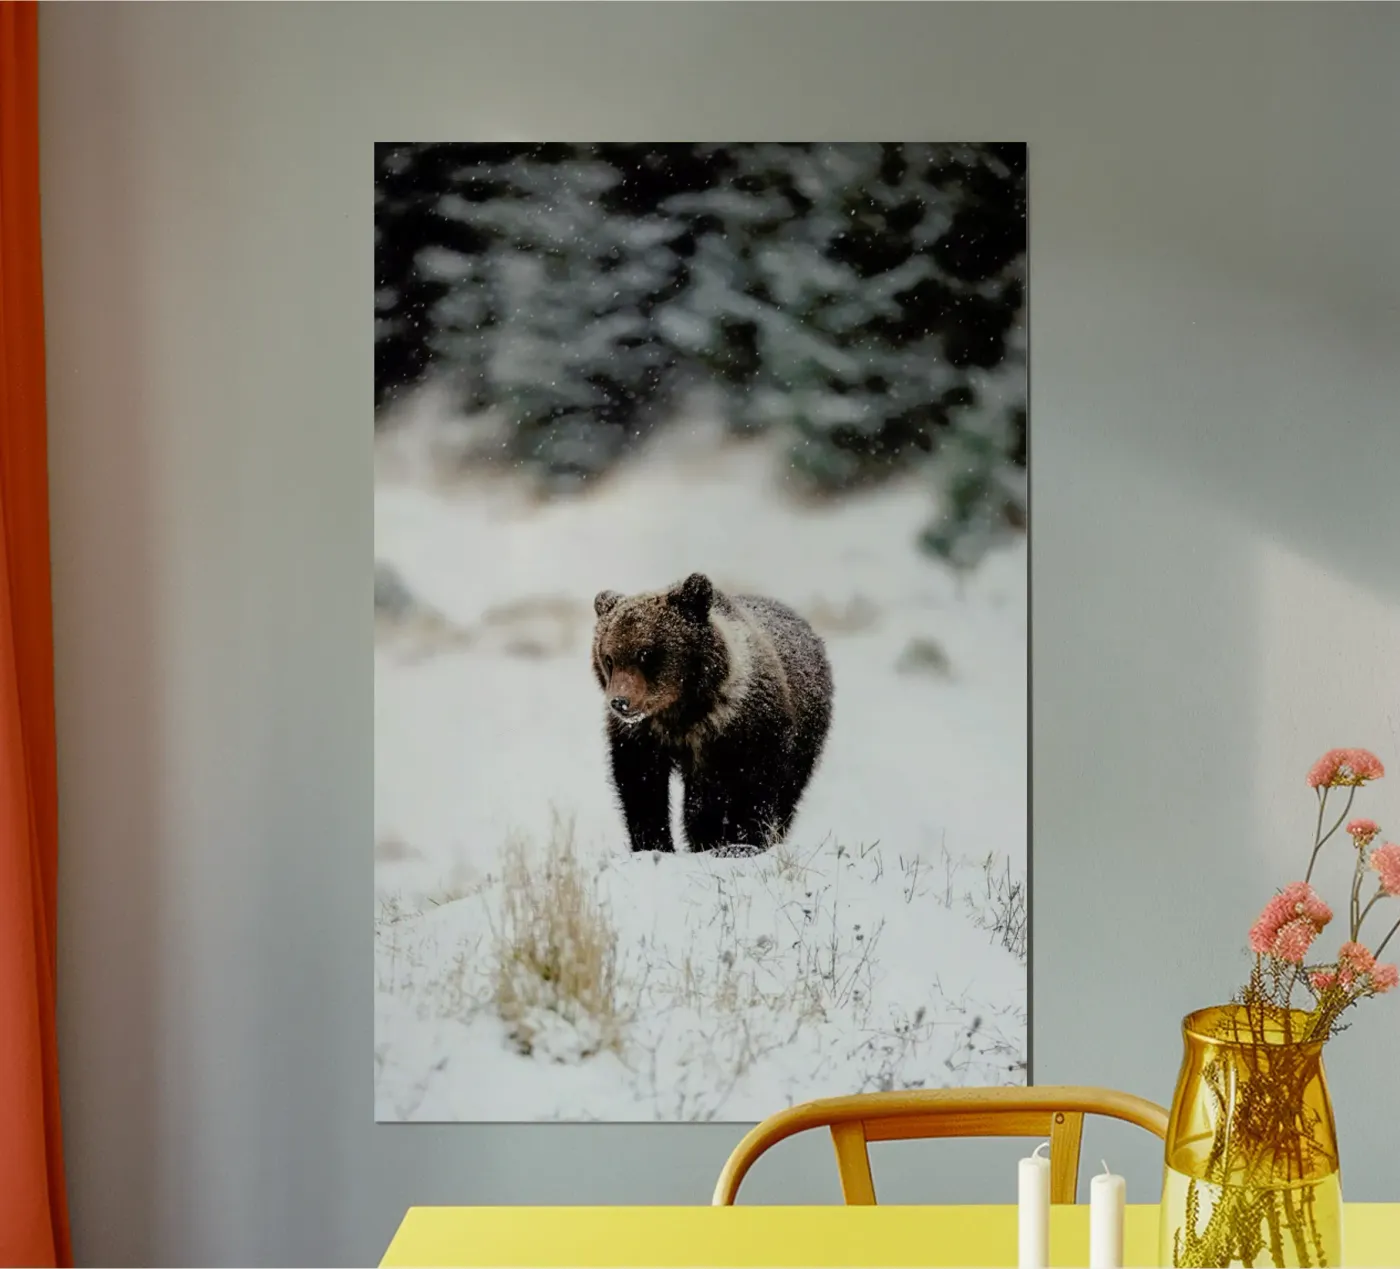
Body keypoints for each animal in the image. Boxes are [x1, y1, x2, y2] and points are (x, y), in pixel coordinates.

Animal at [590, 572, 833, 854]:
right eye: (609, 658)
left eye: (645, 653)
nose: (620, 702)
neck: (682, 713)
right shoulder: (642, 737)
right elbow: (641, 787)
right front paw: (655, 844)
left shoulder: (745, 730)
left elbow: (752, 789)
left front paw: (740, 842)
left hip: (806, 735)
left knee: (788, 791)